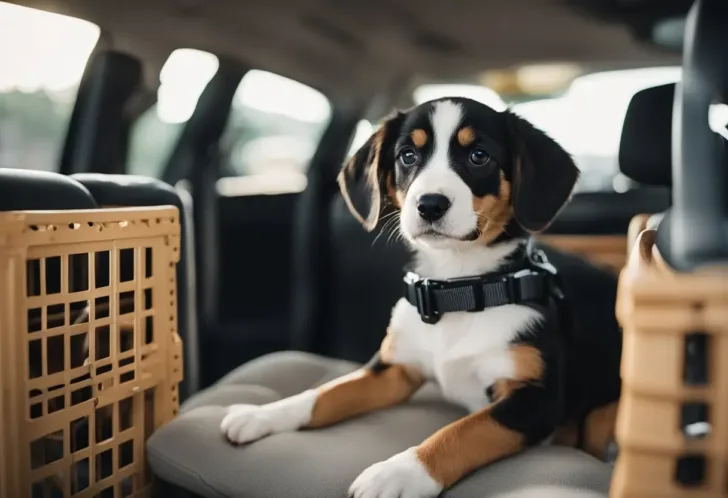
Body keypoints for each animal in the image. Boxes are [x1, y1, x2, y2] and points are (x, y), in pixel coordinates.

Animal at [220, 98, 620, 498]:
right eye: (408, 156)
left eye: (479, 156)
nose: (429, 204)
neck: (457, 289)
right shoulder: (393, 369)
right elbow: (326, 392)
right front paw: (262, 414)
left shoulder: (537, 401)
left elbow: (463, 432)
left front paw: (397, 472)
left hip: (601, 416)